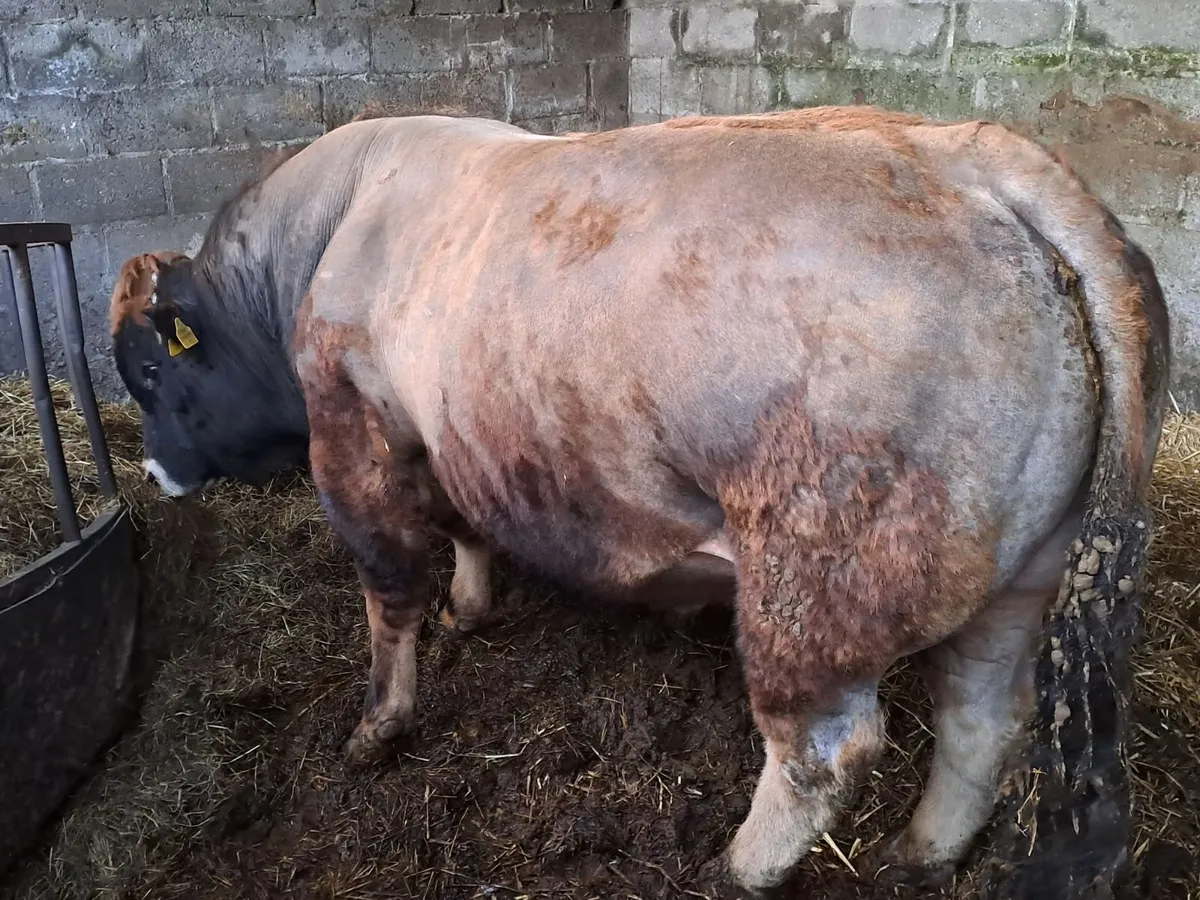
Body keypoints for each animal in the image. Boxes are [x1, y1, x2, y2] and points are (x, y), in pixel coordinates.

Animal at [109, 106, 1170, 896]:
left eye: (152, 374)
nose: (155, 476)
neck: (337, 226)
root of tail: (969, 152)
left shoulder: (353, 435)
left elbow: (389, 590)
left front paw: (379, 725)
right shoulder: (453, 436)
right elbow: (461, 529)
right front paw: (471, 607)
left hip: (818, 583)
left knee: (823, 749)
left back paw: (737, 868)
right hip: (1025, 574)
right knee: (984, 716)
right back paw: (920, 855)